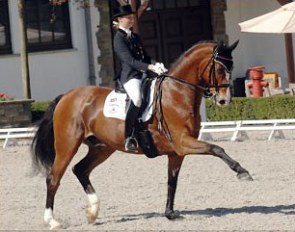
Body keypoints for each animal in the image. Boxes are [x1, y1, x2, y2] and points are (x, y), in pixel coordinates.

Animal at [31, 40, 254, 229]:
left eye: (231, 67)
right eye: (219, 68)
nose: (224, 100)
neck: (177, 93)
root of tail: (66, 96)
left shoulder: (177, 152)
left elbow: (172, 181)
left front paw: (170, 213)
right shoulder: (183, 142)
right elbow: (217, 148)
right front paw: (242, 171)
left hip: (102, 148)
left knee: (80, 170)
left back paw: (93, 212)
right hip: (67, 145)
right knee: (53, 178)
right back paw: (52, 221)